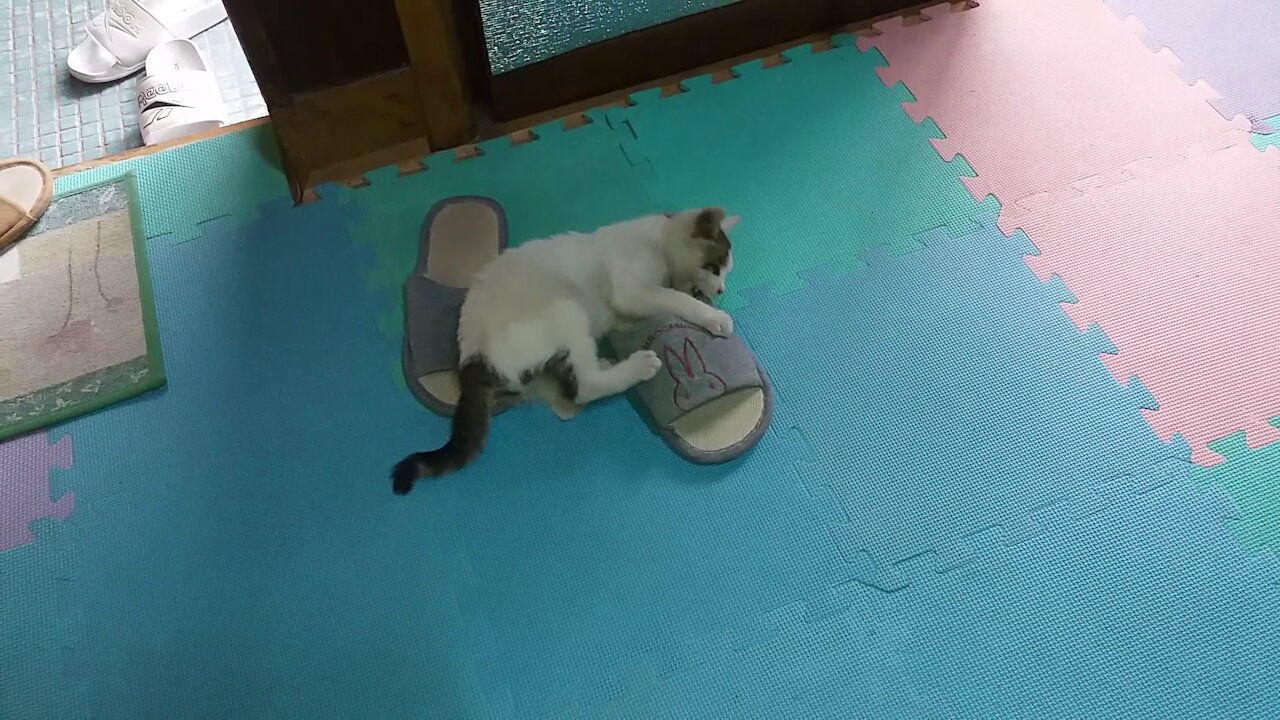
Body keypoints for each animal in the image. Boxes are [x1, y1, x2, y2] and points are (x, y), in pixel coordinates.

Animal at [386, 204, 742, 489]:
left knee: (567, 400)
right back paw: (637, 366)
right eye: (714, 267)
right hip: (567, 309)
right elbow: (675, 299)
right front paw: (713, 317)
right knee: (584, 387)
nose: (721, 289)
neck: (658, 238)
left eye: (726, 271)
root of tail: (471, 357)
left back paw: (604, 365)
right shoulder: (631, 290)